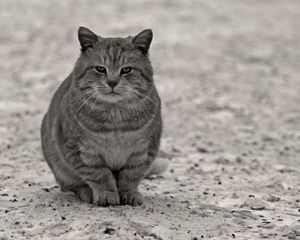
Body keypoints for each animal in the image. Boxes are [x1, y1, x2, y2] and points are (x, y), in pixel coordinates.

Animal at [40, 26, 164, 206]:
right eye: (100, 68)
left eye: (126, 69)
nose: (112, 82)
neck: (115, 119)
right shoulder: (82, 151)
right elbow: (100, 175)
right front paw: (106, 194)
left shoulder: (143, 151)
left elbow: (130, 176)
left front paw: (129, 193)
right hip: (59, 166)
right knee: (72, 185)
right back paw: (86, 193)